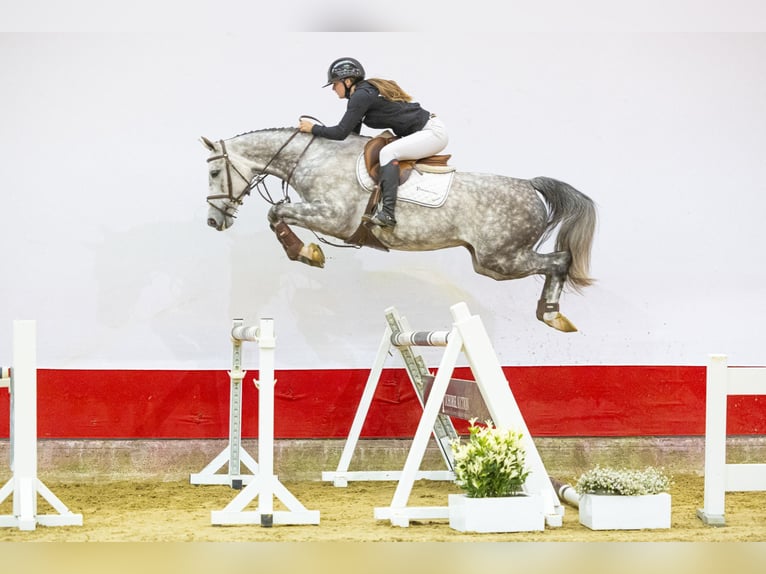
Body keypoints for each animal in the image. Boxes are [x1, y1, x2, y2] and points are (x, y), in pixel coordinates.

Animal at [204, 126, 600, 332]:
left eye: (213, 172)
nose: (212, 221)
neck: (313, 157)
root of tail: (530, 185)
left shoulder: (334, 217)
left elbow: (277, 212)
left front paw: (307, 253)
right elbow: (278, 214)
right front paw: (306, 253)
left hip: (500, 259)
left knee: (560, 260)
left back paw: (552, 314)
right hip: (493, 261)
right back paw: (551, 314)